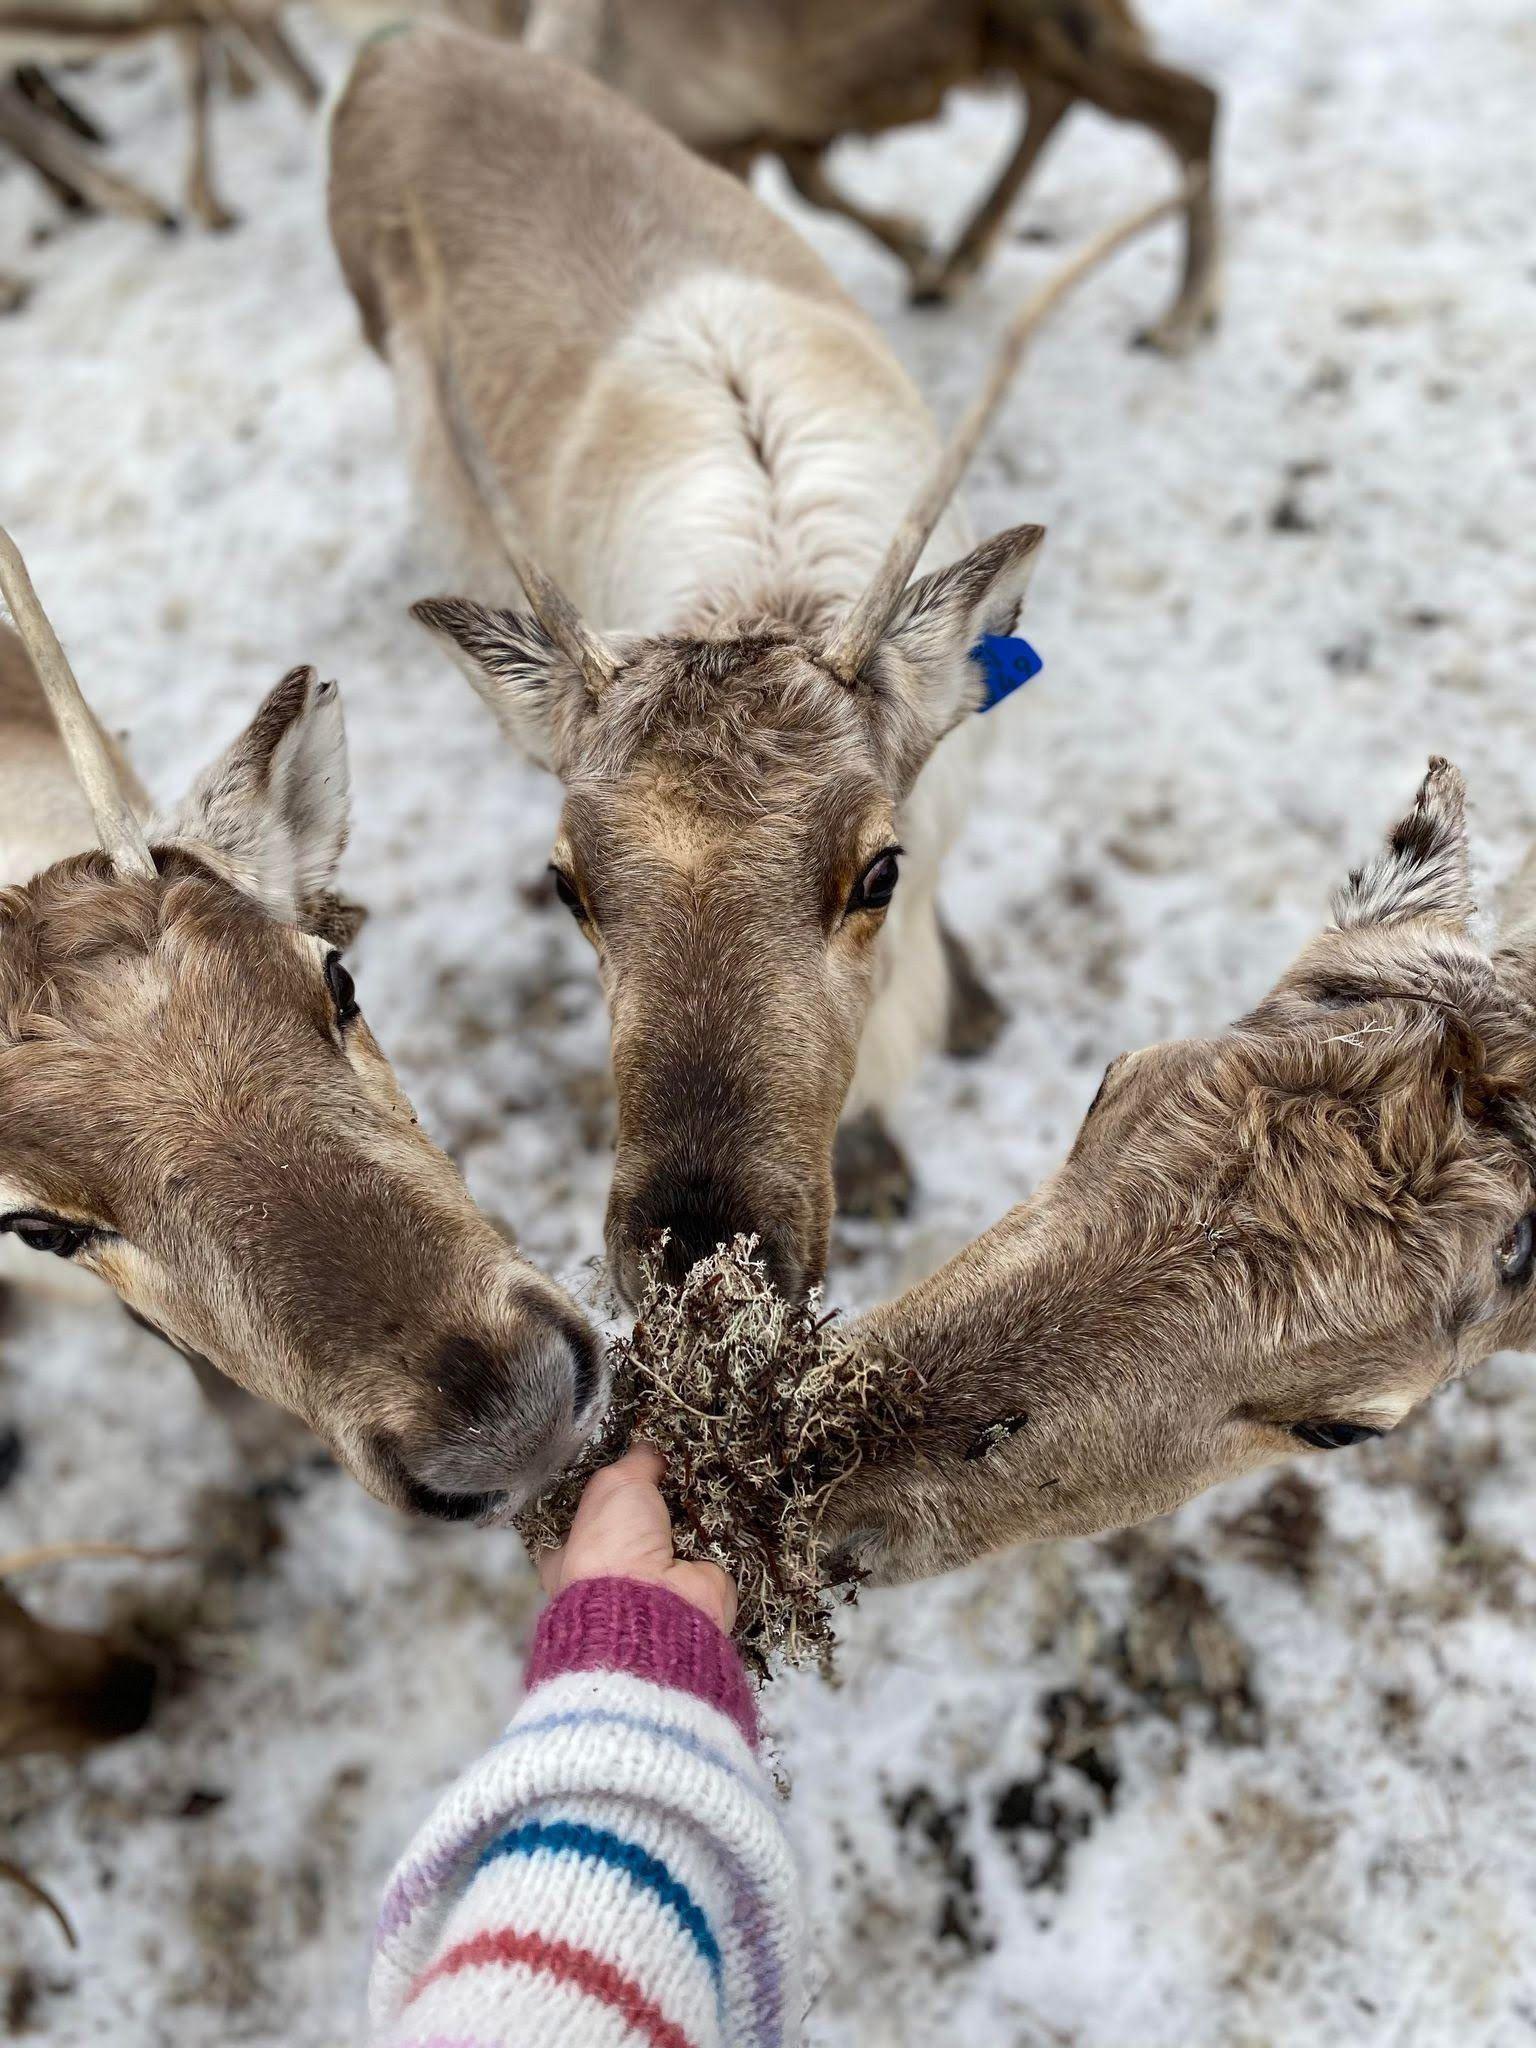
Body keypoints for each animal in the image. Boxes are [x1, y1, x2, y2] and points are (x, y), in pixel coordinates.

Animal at [328, 25, 1185, 1306]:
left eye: (877, 870)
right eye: (566, 883)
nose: (697, 1253)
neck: (762, 581)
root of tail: (398, 39)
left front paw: (973, 1003)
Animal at [523, 0, 1220, 353]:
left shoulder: (729, 129)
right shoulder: (770, 117)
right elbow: (809, 185)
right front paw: (917, 250)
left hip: (1049, 23)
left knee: (1192, 104)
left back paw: (1182, 314)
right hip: (1021, 33)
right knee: (1056, 96)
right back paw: (959, 258)